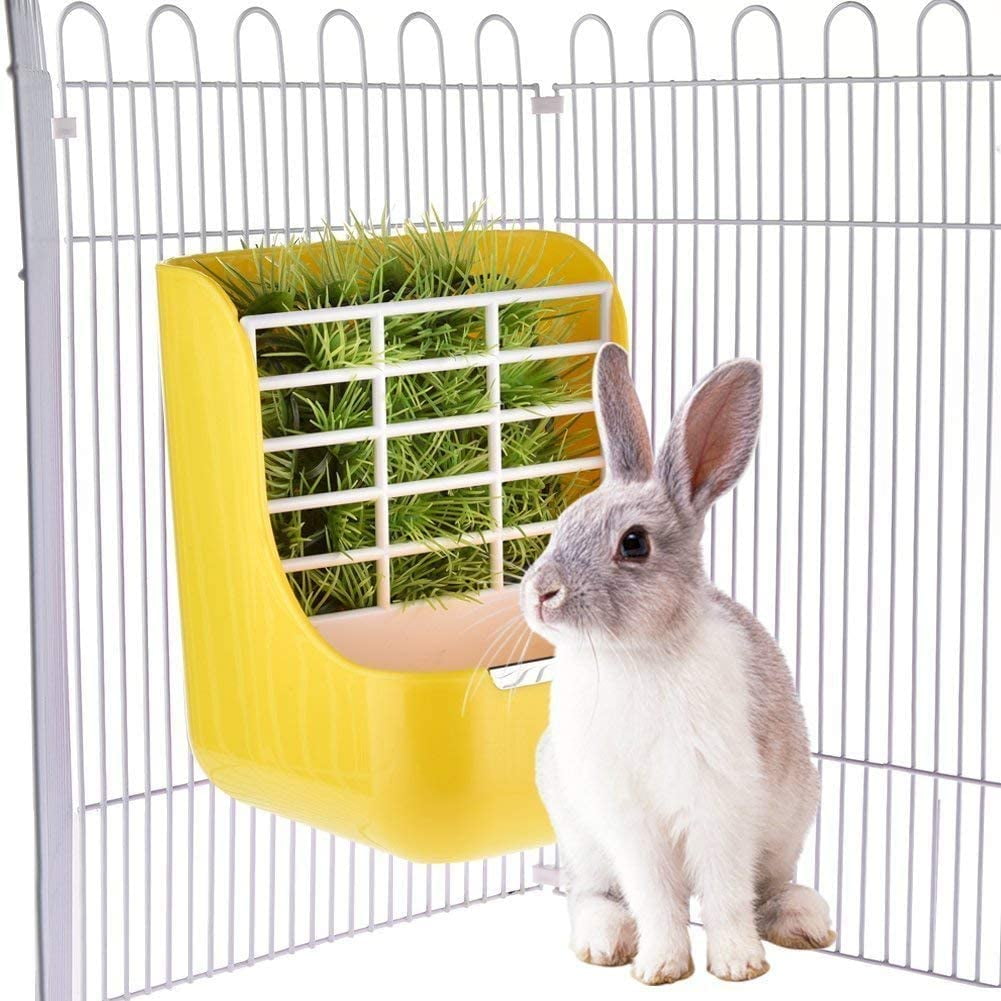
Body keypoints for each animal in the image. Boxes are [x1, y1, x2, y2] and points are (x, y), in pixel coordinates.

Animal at [521, 343, 834, 985]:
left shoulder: (720, 803)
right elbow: (654, 895)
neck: (635, 655)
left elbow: (725, 892)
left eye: (634, 543)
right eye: (563, 523)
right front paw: (660, 967)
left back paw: (806, 923)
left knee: (770, 888)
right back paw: (605, 944)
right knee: (588, 894)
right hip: (580, 836)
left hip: (792, 820)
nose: (540, 593)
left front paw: (739, 966)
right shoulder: (629, 822)